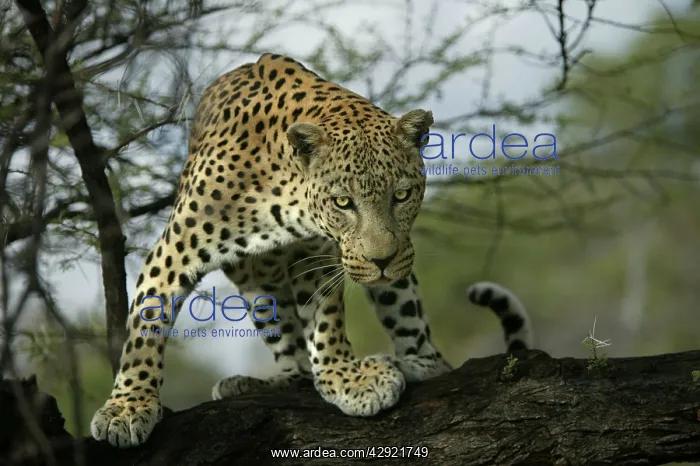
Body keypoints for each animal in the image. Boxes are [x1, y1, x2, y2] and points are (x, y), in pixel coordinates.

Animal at [89, 53, 534, 448]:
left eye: (402, 195)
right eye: (343, 202)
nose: (381, 260)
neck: (286, 197)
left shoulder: (322, 259)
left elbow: (327, 320)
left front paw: (347, 377)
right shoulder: (174, 251)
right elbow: (145, 330)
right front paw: (127, 408)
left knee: (409, 324)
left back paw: (413, 362)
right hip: (258, 284)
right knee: (292, 355)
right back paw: (253, 382)